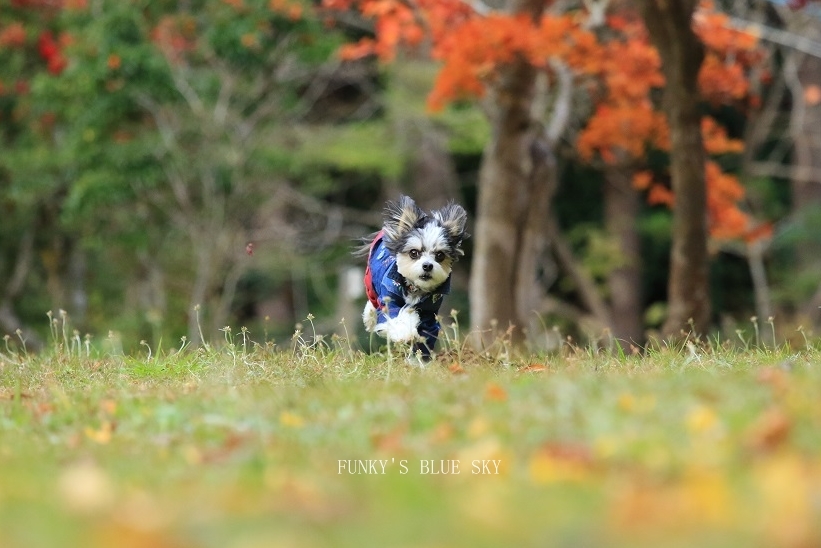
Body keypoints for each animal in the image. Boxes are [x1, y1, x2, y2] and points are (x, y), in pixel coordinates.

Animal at [360, 194, 468, 360]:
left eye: (440, 255)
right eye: (414, 253)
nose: (427, 266)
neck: (416, 288)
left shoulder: (429, 315)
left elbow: (426, 336)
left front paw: (418, 361)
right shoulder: (390, 299)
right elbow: (395, 317)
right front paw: (403, 333)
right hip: (371, 283)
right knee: (373, 302)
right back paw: (370, 318)